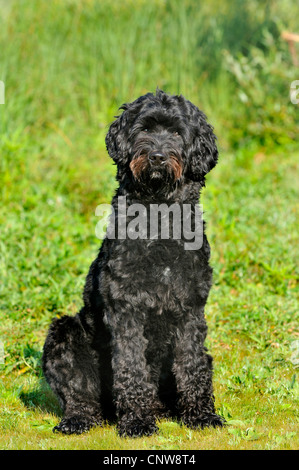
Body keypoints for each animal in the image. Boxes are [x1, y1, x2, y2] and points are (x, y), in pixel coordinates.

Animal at [42, 89, 225, 436]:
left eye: (177, 132)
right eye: (144, 129)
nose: (157, 156)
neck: (159, 217)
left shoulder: (191, 309)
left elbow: (192, 364)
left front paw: (201, 416)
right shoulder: (126, 309)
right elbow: (131, 367)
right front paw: (138, 421)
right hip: (65, 332)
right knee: (80, 397)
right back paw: (78, 420)